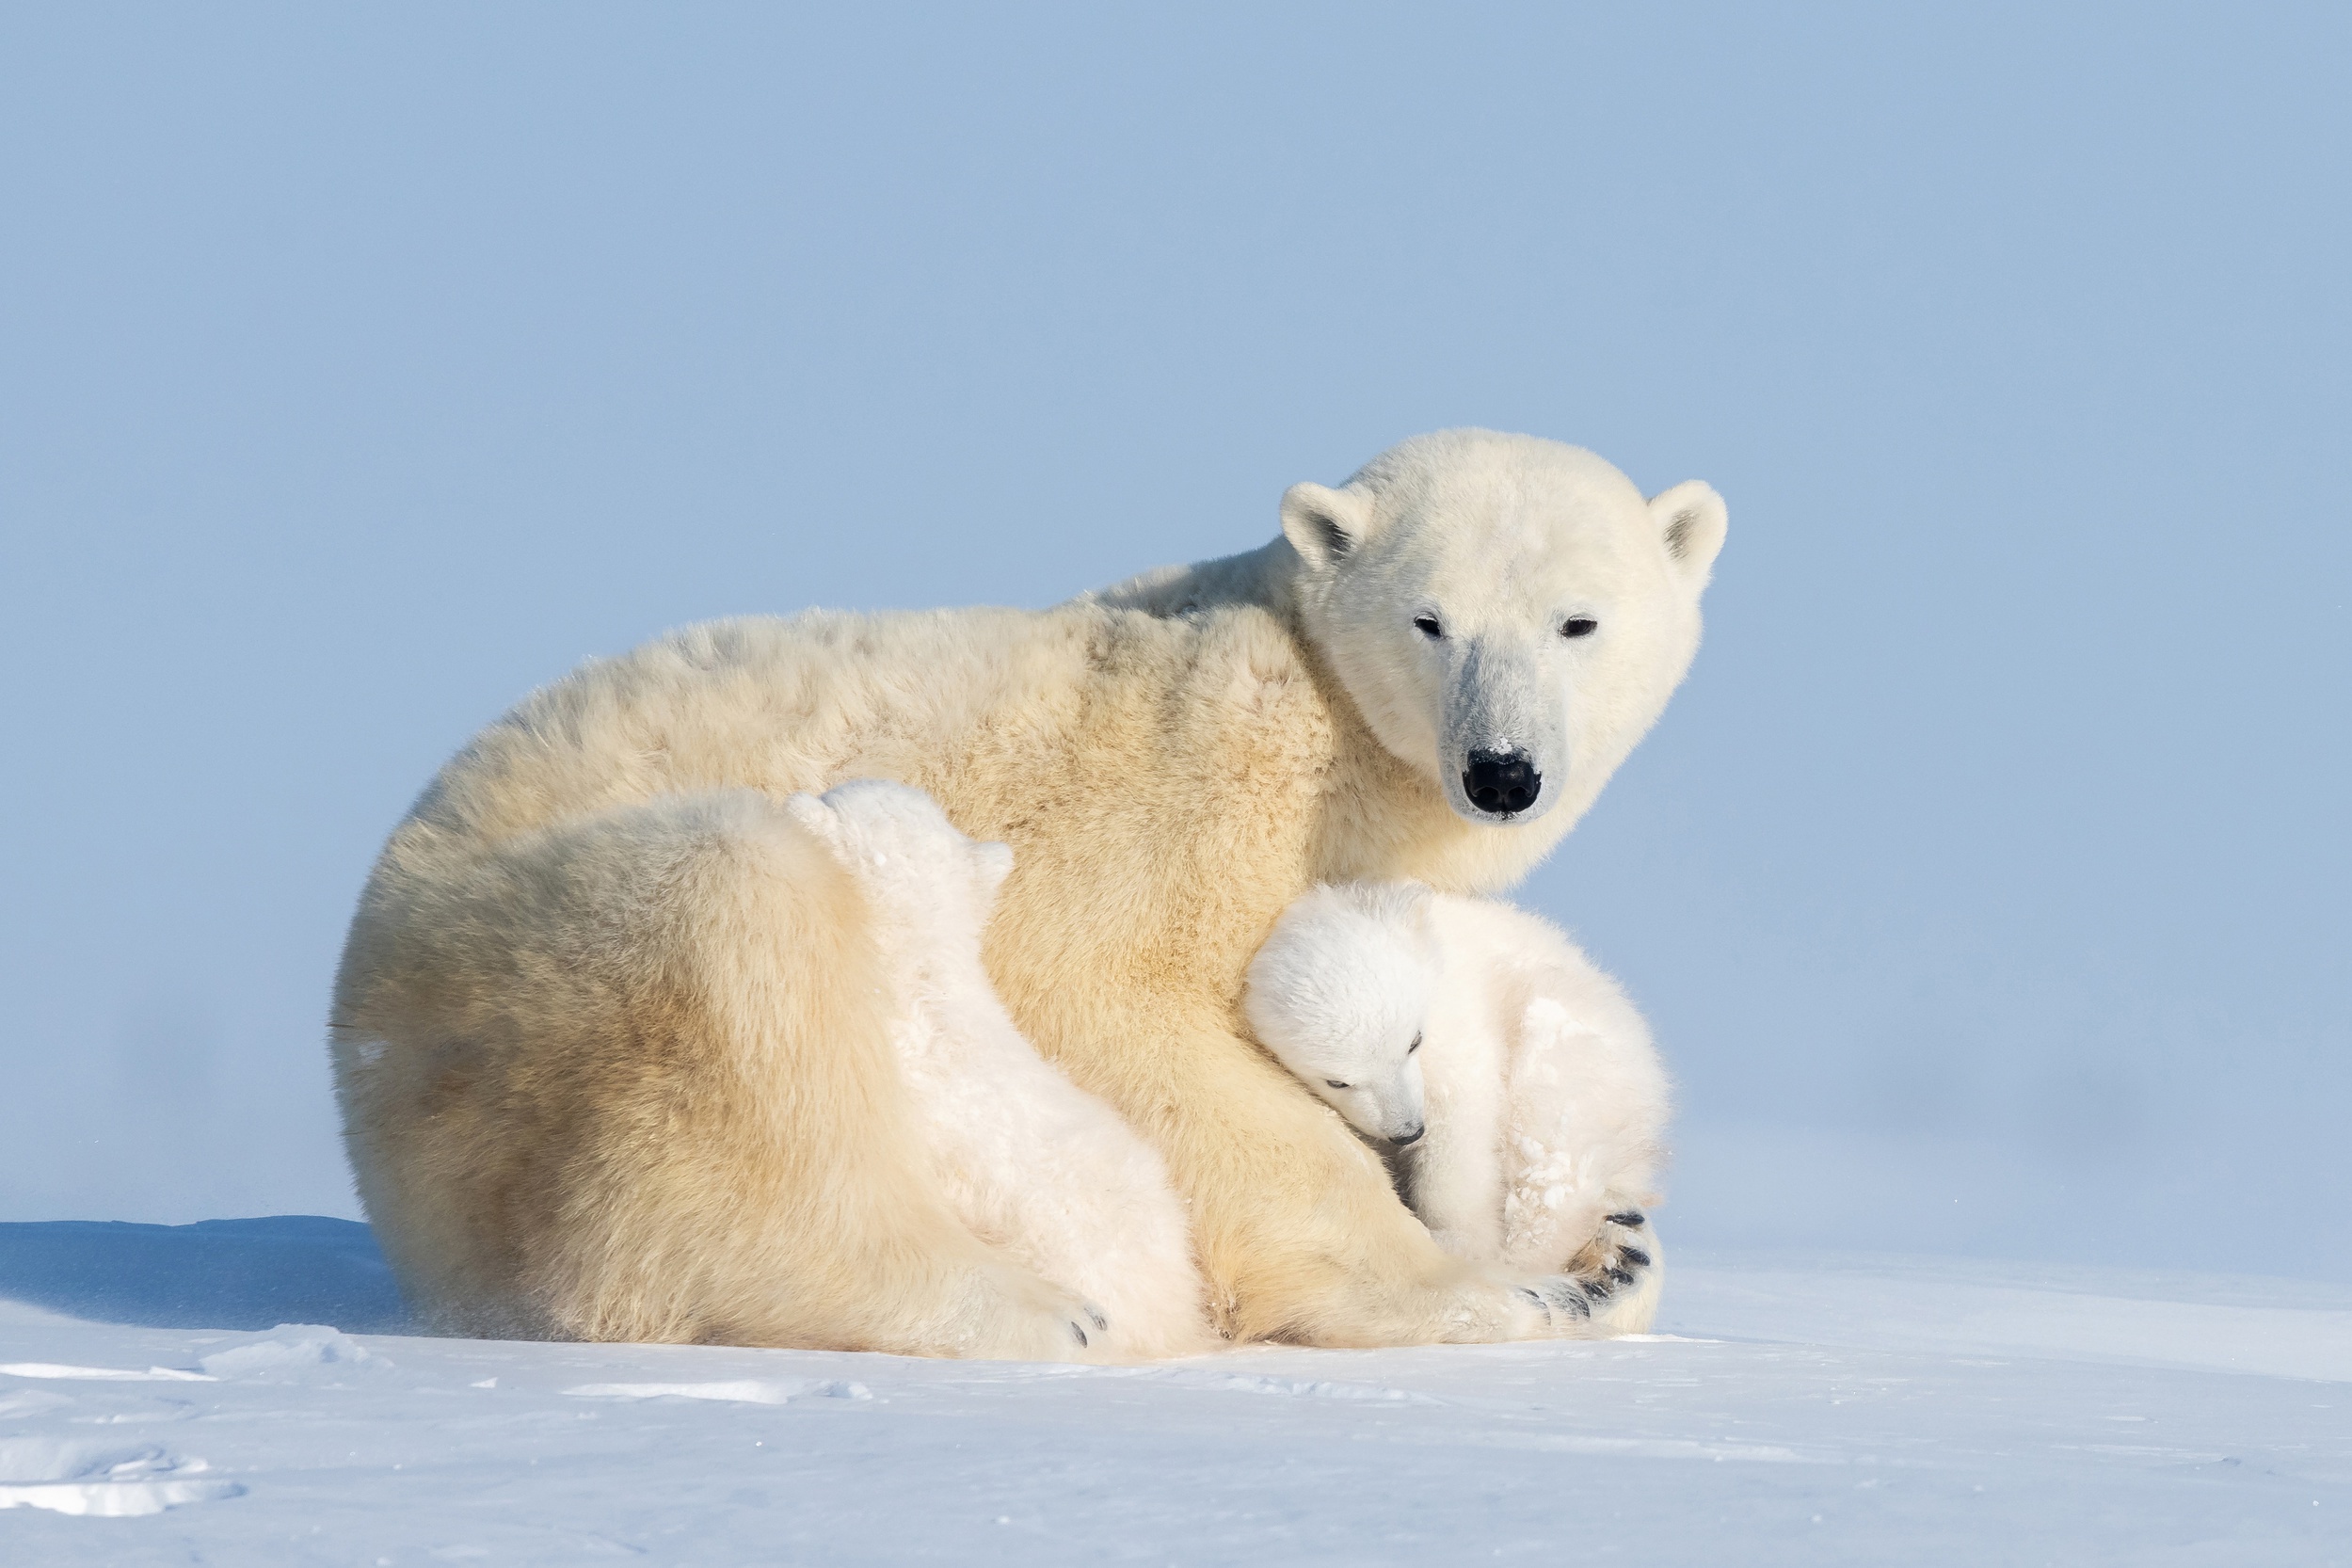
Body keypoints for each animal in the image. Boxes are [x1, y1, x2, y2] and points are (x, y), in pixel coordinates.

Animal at [1251, 884, 1674, 1335]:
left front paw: (1454, 1239)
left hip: (1573, 1060)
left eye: (1413, 1041)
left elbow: (1461, 1123)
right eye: (1338, 1081)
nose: (1407, 1130)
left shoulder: (1459, 1021)